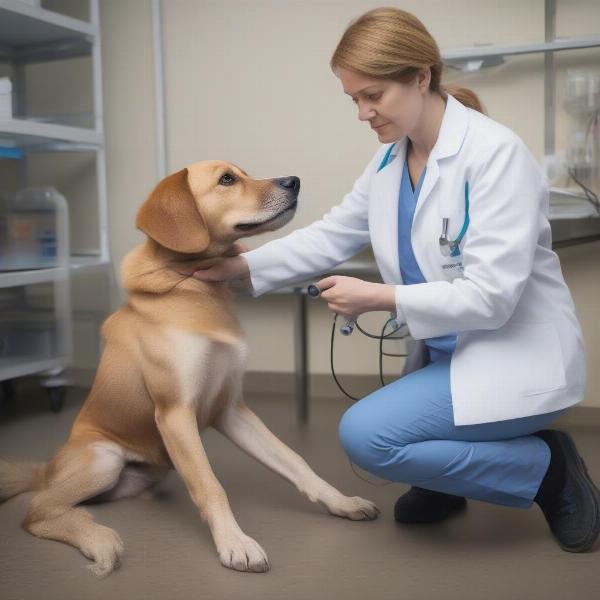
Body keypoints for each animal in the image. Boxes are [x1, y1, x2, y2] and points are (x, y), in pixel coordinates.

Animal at [0, 161, 380, 576]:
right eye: (227, 179)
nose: (294, 181)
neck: (192, 289)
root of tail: (47, 469)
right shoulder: (175, 414)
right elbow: (210, 484)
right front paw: (235, 543)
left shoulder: (232, 409)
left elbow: (295, 461)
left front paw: (340, 502)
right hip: (104, 458)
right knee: (38, 509)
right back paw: (98, 540)